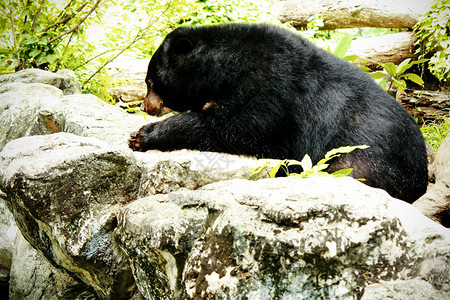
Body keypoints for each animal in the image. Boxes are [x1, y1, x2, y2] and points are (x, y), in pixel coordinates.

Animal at [130, 22, 428, 203]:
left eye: (150, 82)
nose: (145, 106)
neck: (225, 66)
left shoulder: (272, 87)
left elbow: (234, 127)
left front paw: (142, 135)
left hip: (364, 160)